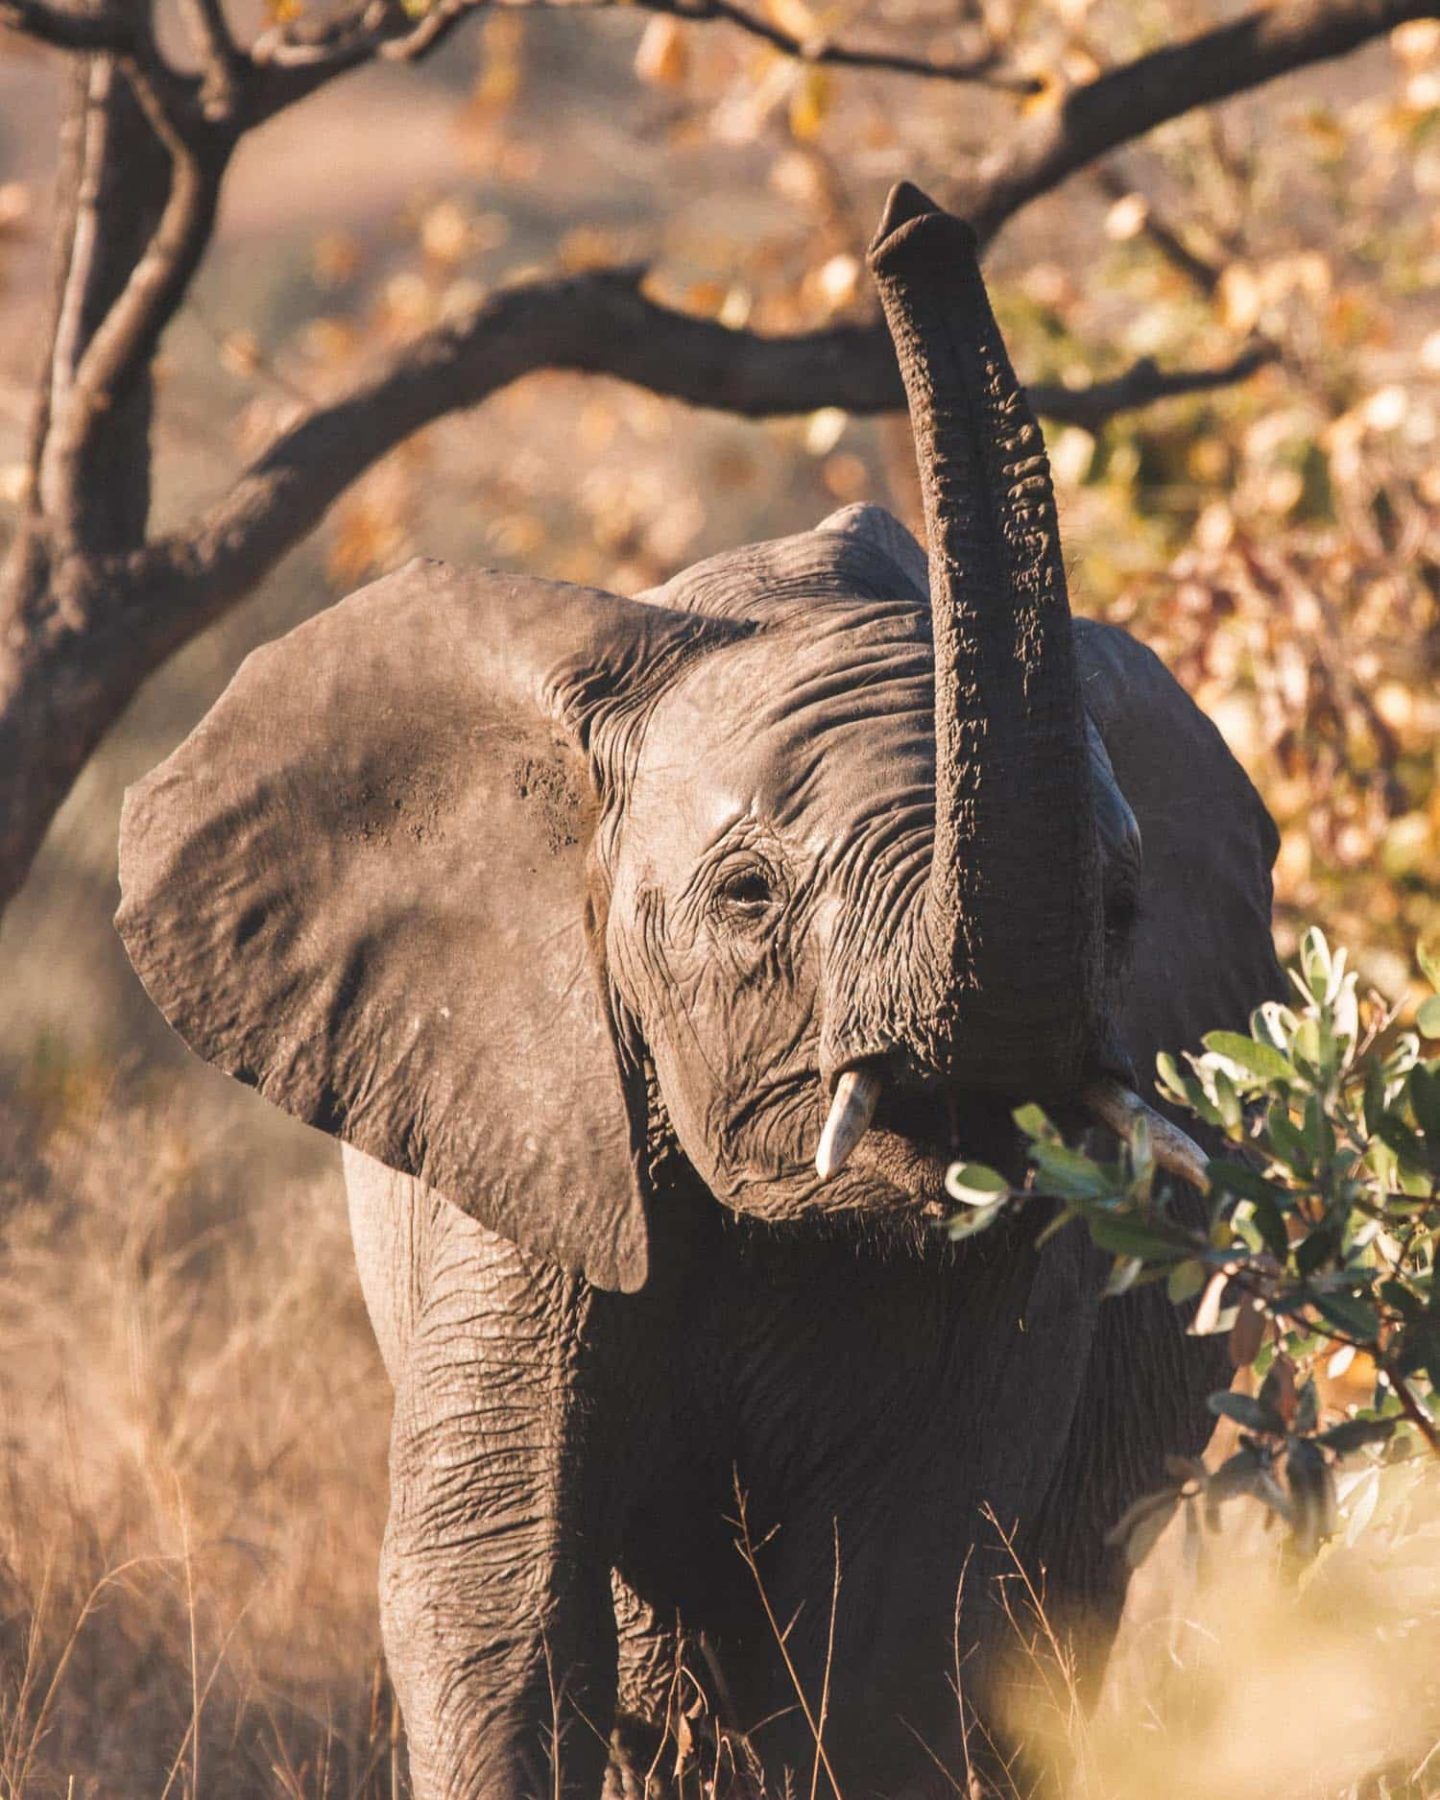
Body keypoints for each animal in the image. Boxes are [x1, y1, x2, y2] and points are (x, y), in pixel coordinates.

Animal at [115, 186, 1281, 1800]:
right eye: (747, 896)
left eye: (1122, 910)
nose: (910, 217)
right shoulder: (536, 1115)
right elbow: (494, 1591)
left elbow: (902, 1614)